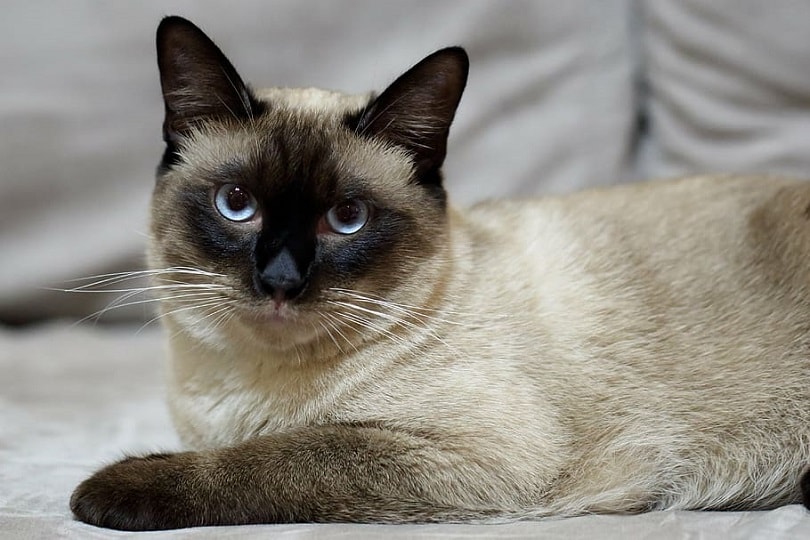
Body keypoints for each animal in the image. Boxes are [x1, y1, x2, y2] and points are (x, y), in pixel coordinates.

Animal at [71, 13, 808, 532]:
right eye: (236, 205)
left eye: (346, 218)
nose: (281, 280)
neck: (242, 386)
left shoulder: (476, 454)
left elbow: (280, 457)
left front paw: (105, 493)